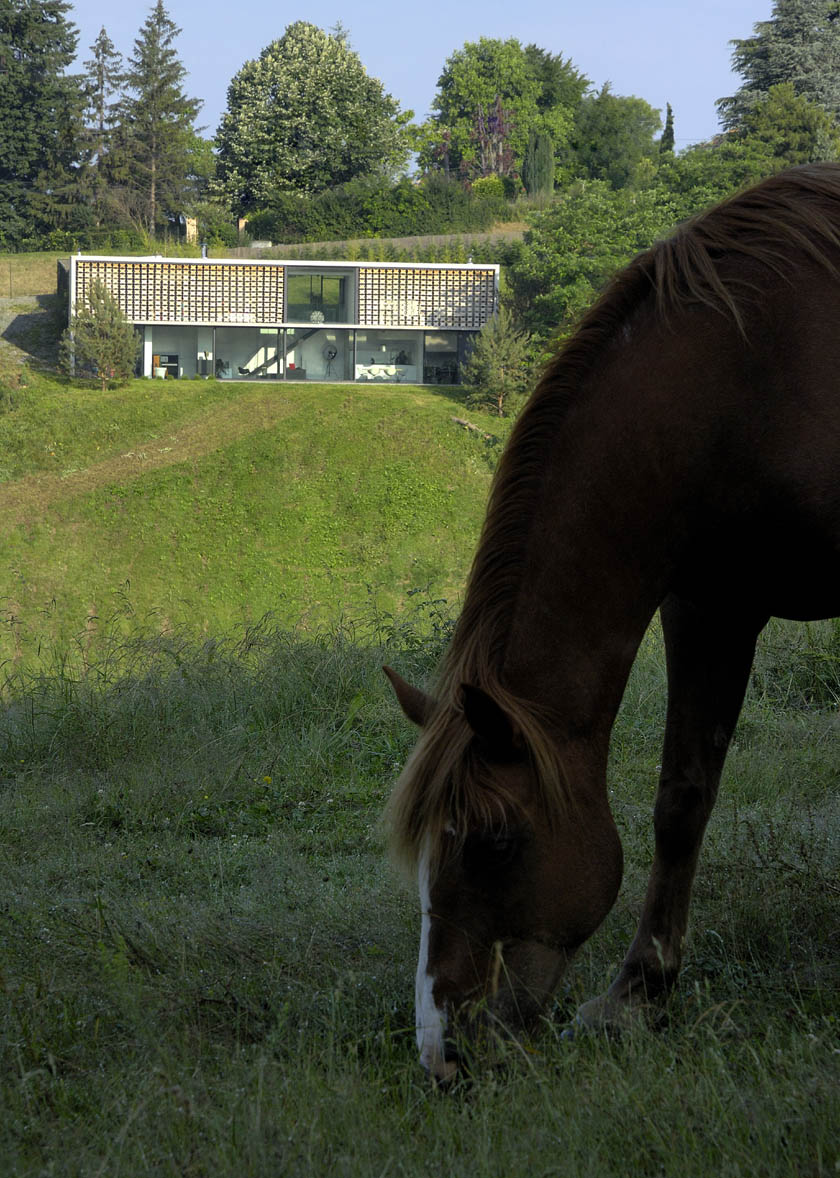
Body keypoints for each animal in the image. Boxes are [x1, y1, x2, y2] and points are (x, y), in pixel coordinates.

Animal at [384, 161, 838, 1079]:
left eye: (492, 841)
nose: (442, 1052)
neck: (757, 376)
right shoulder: (710, 604)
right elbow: (682, 799)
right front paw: (637, 996)